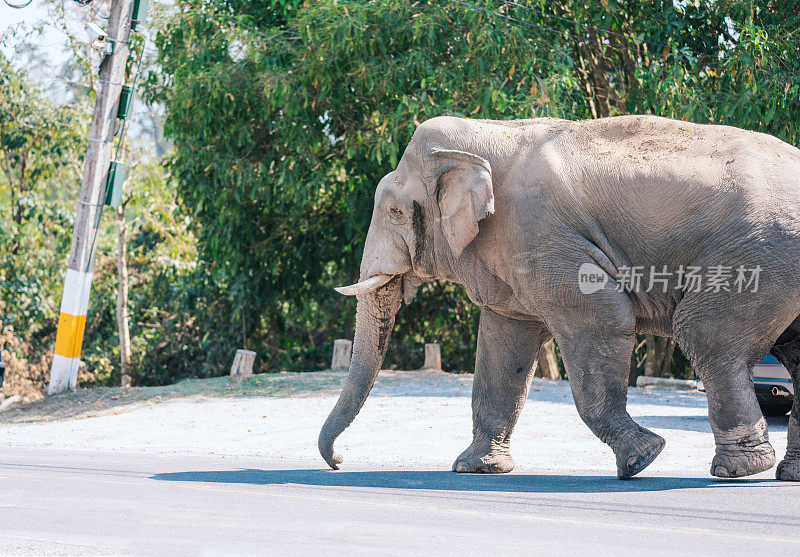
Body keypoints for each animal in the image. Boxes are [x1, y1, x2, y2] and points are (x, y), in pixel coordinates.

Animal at [318, 115, 800, 480]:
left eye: (395, 211)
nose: (340, 460)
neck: (488, 133)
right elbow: (503, 346)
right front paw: (476, 468)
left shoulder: (540, 235)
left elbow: (602, 317)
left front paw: (642, 460)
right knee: (791, 352)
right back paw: (783, 474)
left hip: (757, 254)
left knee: (704, 334)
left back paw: (739, 470)